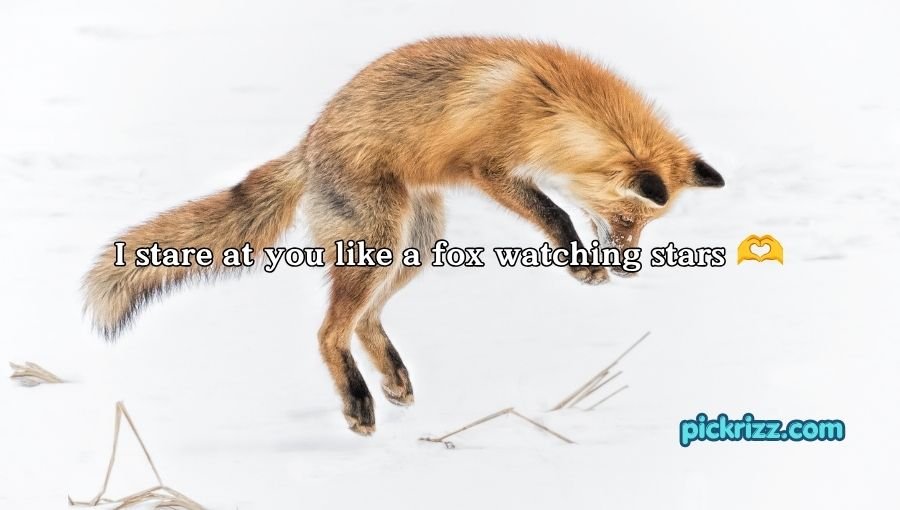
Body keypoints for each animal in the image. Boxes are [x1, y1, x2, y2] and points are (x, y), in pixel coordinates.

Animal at [84, 36, 724, 435]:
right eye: (627, 221)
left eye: (645, 227)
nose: (631, 265)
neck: (551, 106)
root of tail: (308, 144)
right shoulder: (490, 169)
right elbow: (557, 215)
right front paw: (580, 260)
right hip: (379, 244)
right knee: (329, 332)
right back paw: (358, 403)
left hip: (416, 247)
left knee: (366, 320)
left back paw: (392, 379)